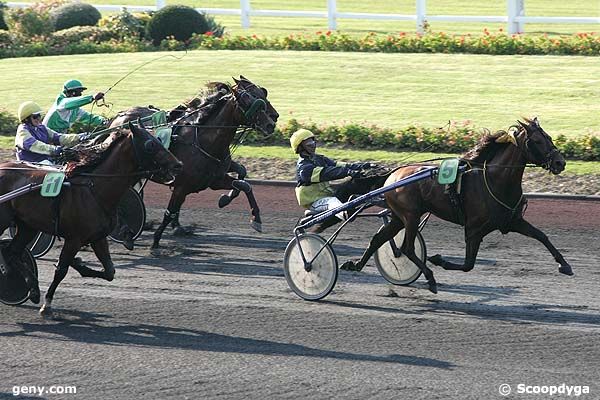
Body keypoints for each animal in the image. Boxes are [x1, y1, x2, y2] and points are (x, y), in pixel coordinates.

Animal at [0, 122, 183, 316]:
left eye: (159, 139)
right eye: (150, 145)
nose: (178, 165)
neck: (95, 190)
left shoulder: (98, 238)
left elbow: (109, 271)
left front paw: (79, 264)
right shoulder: (74, 239)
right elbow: (61, 270)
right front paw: (47, 304)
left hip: (28, 225)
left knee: (12, 252)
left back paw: (33, 290)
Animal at [110, 76, 278, 248]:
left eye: (262, 94)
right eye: (247, 99)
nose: (271, 122)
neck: (203, 141)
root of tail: (118, 118)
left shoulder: (213, 180)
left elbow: (244, 184)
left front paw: (251, 216)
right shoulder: (181, 186)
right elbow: (169, 212)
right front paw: (156, 240)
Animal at [342, 119, 572, 294]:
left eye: (549, 137)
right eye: (536, 141)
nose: (560, 163)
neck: (496, 181)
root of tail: (393, 174)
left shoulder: (513, 221)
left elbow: (542, 236)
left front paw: (565, 265)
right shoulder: (474, 229)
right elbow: (468, 264)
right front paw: (438, 259)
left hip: (400, 217)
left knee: (379, 239)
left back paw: (356, 265)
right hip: (411, 216)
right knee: (407, 248)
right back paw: (430, 278)